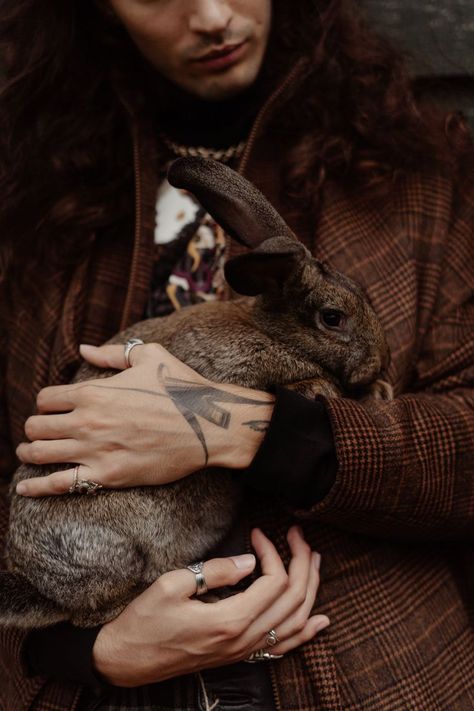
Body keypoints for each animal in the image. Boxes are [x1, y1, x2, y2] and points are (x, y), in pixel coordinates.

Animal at [0, 157, 392, 628]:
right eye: (332, 318)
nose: (381, 360)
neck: (271, 331)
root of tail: (43, 589)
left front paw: (380, 390)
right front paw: (340, 389)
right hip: (115, 550)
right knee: (98, 613)